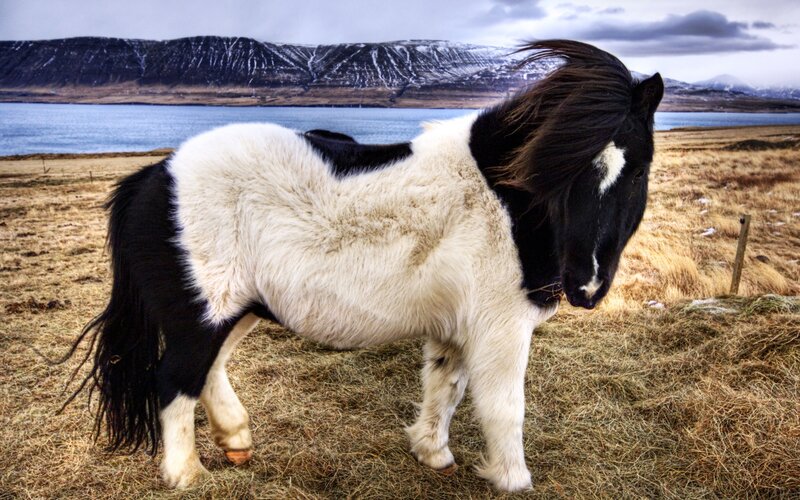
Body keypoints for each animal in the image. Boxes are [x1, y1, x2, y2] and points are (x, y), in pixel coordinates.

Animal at [66, 40, 663, 492]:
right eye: (561, 168)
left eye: (637, 171)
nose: (586, 286)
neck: (505, 202)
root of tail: (154, 177)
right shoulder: (501, 329)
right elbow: (503, 408)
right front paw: (512, 480)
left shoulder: (457, 327)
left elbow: (445, 387)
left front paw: (432, 454)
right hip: (202, 316)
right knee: (174, 383)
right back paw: (186, 475)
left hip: (235, 311)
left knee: (208, 370)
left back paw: (236, 440)